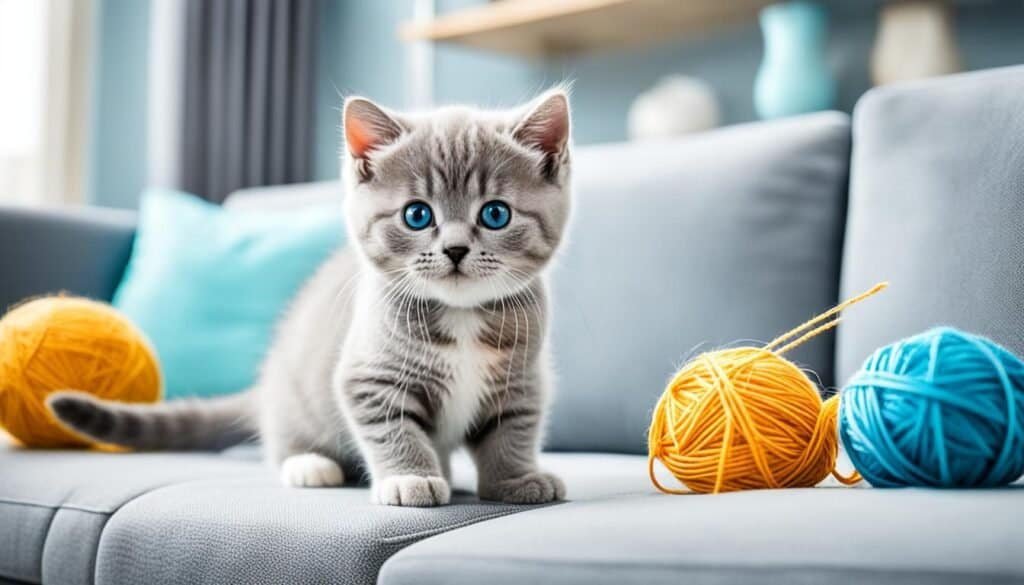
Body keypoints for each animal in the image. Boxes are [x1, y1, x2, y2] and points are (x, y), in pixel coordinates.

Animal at [44, 90, 573, 508]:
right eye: (417, 215)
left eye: (496, 214)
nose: (457, 249)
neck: (462, 316)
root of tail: (267, 382)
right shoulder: (367, 377)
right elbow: (393, 429)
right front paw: (409, 477)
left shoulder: (523, 379)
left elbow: (513, 431)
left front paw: (516, 479)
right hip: (296, 400)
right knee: (284, 443)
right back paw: (309, 465)